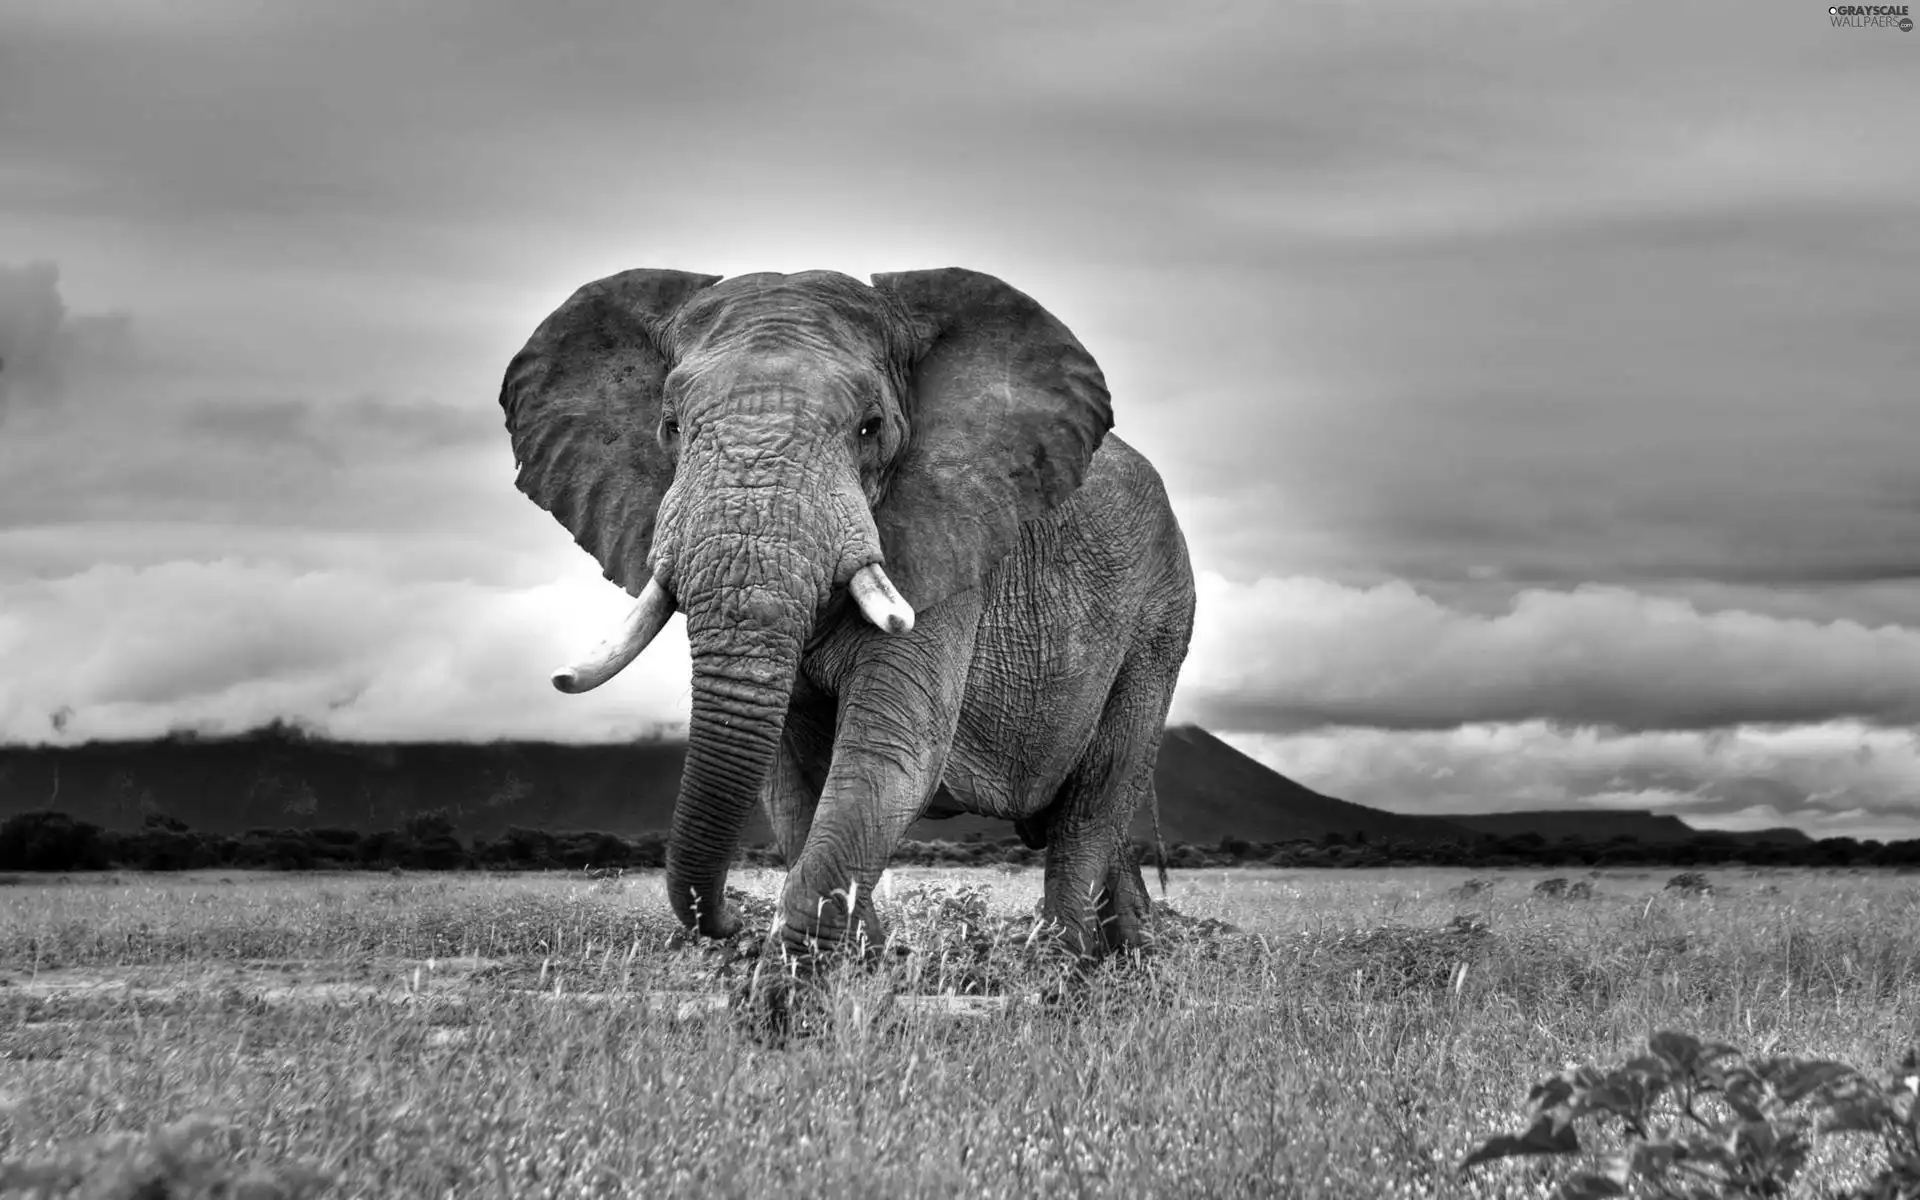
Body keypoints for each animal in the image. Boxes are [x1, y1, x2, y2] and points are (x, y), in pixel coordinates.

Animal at [495, 266, 1190, 960]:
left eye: (870, 427)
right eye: (669, 426)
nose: (728, 922)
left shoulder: (947, 546)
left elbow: (889, 755)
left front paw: (799, 980)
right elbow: (791, 785)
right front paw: (863, 960)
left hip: (1159, 620)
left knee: (1094, 801)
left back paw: (1063, 965)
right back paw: (1128, 955)